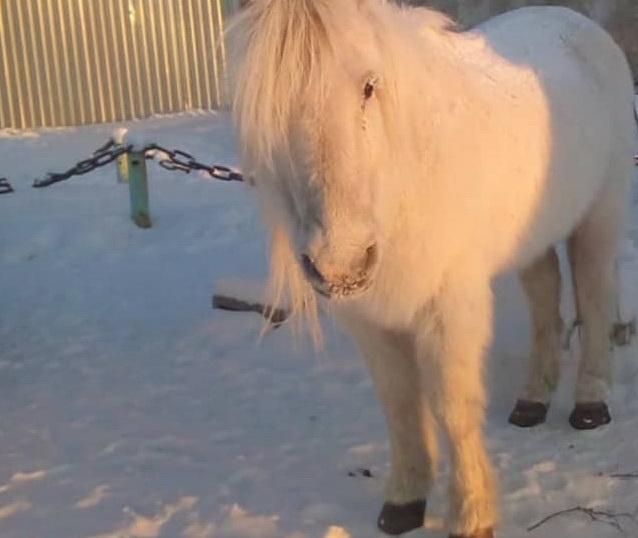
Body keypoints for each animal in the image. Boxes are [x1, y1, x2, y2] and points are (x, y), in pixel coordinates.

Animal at [228, 1, 636, 532]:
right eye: (266, 104)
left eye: (369, 85)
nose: (341, 262)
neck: (400, 182)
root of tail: (577, 22)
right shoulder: (370, 320)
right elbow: (399, 403)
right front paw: (404, 503)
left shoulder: (450, 307)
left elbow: (451, 407)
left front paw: (472, 515)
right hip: (532, 237)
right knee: (546, 293)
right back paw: (532, 400)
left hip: (598, 217)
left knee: (593, 292)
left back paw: (590, 402)